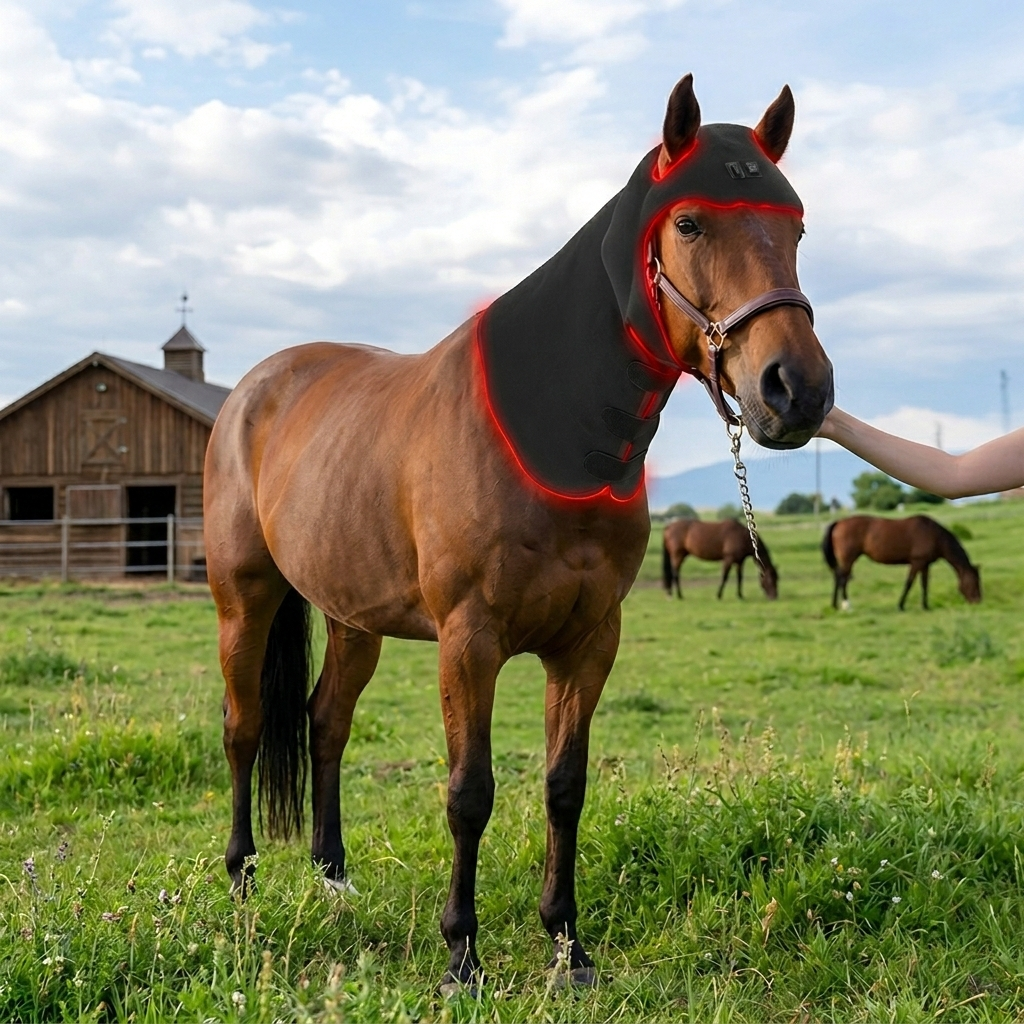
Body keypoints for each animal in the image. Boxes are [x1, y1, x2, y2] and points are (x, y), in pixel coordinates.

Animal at [203, 74, 833, 993]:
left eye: (796, 227)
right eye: (688, 223)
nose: (797, 390)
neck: (551, 438)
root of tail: (252, 390)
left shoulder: (589, 641)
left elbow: (564, 786)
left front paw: (568, 946)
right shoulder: (470, 641)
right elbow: (470, 792)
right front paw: (461, 955)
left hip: (354, 618)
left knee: (325, 724)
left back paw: (333, 877)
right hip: (244, 601)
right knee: (245, 727)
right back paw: (244, 878)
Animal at [822, 515, 981, 610]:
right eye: (975, 581)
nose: (978, 601)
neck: (934, 535)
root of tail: (839, 523)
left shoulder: (925, 565)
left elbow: (924, 584)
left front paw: (925, 606)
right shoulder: (916, 563)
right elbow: (909, 583)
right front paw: (901, 605)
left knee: (837, 577)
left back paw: (834, 605)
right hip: (849, 559)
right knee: (843, 579)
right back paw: (847, 605)